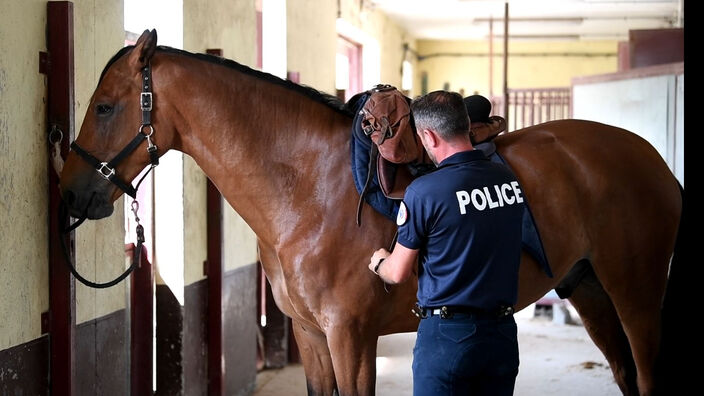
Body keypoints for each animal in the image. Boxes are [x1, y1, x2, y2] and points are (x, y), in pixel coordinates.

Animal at [62, 31, 680, 396]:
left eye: (105, 106)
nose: (68, 193)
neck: (307, 189)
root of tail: (650, 157)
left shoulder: (351, 337)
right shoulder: (313, 338)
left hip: (637, 295)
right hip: (590, 289)